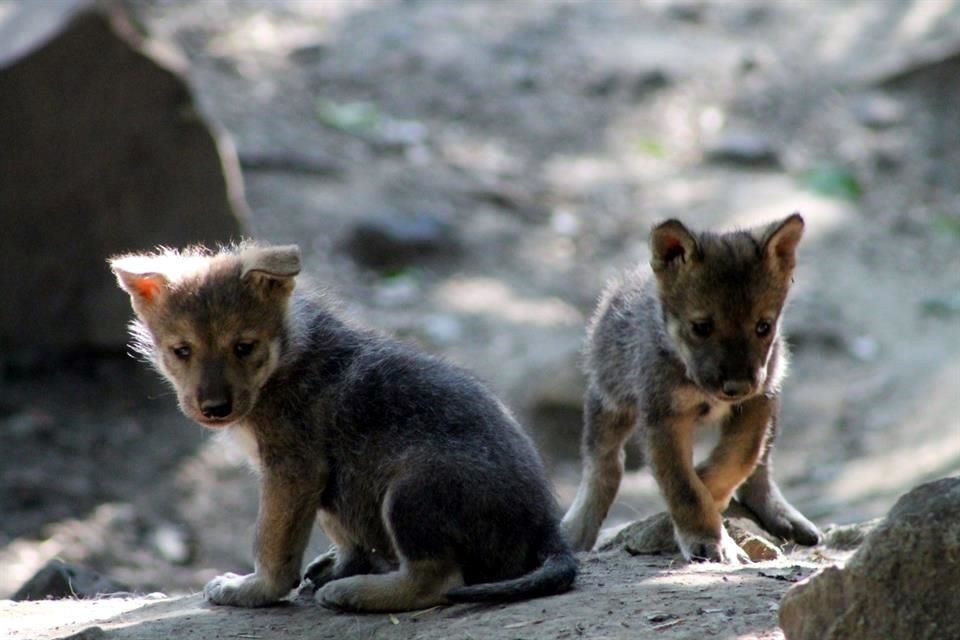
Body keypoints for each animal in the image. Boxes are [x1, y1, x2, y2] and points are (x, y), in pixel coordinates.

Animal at [110, 244, 576, 611]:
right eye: (181, 351)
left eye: (244, 347)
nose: (214, 409)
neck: (284, 359)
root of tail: (548, 528)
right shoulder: (319, 480)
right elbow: (338, 533)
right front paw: (337, 564)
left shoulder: (292, 469)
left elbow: (272, 545)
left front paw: (253, 589)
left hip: (412, 488)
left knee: (438, 580)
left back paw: (357, 593)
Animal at [562, 213, 821, 562]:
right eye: (701, 327)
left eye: (763, 327)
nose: (736, 386)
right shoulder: (664, 416)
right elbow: (684, 486)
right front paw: (706, 537)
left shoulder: (757, 401)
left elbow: (740, 457)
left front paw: (709, 486)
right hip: (610, 401)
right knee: (603, 465)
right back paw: (576, 530)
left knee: (762, 468)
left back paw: (782, 514)